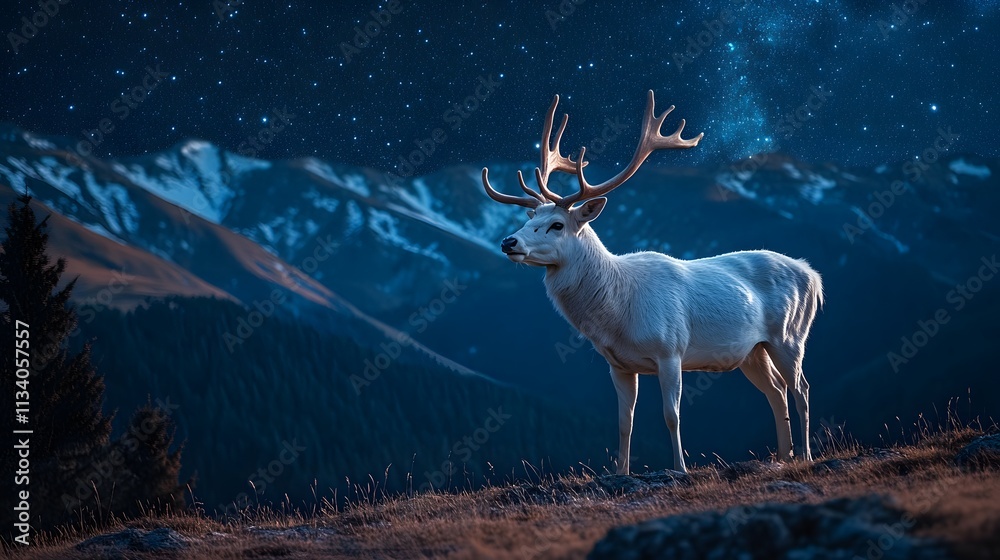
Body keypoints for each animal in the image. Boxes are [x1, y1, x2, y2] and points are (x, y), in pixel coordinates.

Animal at [481, 91, 823, 474]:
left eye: (557, 224)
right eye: (530, 220)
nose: (508, 241)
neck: (617, 313)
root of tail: (814, 276)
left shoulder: (670, 349)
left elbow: (671, 415)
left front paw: (680, 468)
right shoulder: (617, 364)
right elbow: (624, 421)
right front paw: (621, 472)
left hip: (790, 334)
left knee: (802, 388)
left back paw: (805, 455)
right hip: (752, 350)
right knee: (776, 391)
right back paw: (783, 456)